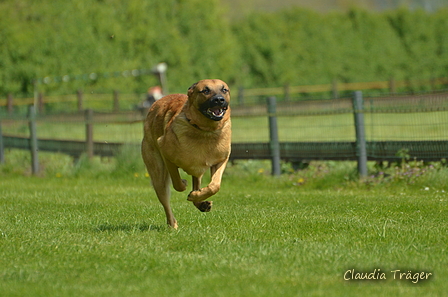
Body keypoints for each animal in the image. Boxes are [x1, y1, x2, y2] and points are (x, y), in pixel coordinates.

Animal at [142, 78, 233, 227]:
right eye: (205, 90)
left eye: (224, 89)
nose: (219, 100)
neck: (205, 130)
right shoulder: (166, 153)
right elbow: (177, 183)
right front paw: (184, 184)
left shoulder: (221, 161)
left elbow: (215, 186)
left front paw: (197, 195)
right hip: (158, 174)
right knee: (165, 200)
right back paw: (173, 224)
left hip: (196, 173)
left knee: (197, 186)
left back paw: (200, 202)